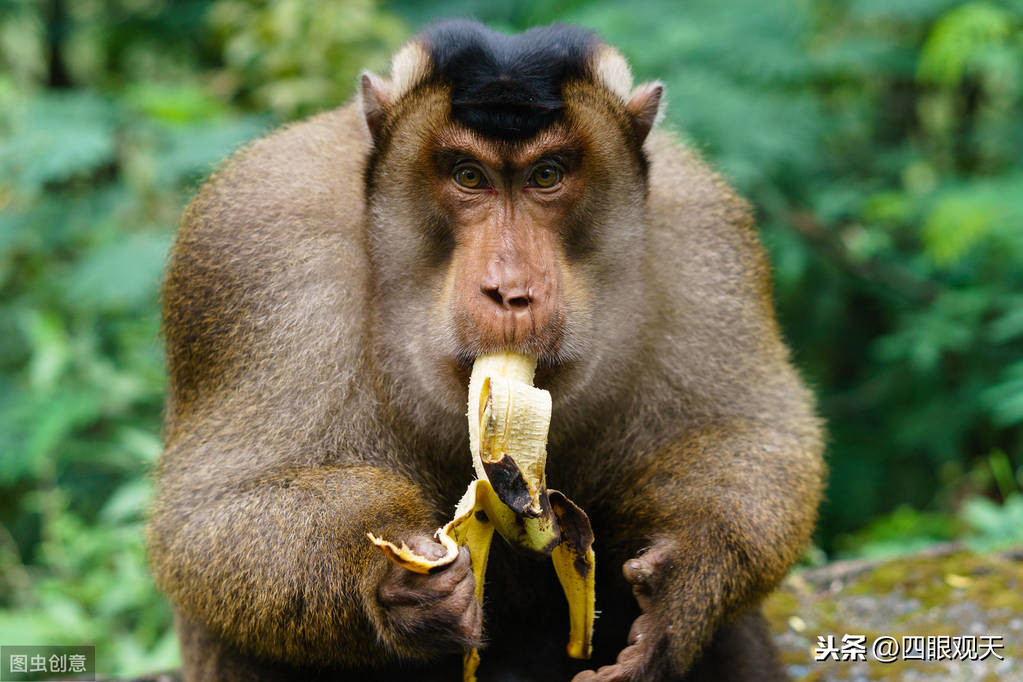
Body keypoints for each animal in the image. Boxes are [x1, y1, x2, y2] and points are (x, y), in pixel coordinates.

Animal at [149, 18, 822, 678]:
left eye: (546, 174)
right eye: (468, 176)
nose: (510, 291)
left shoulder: (705, 233)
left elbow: (752, 434)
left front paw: (685, 580)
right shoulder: (258, 247)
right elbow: (208, 518)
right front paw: (393, 587)